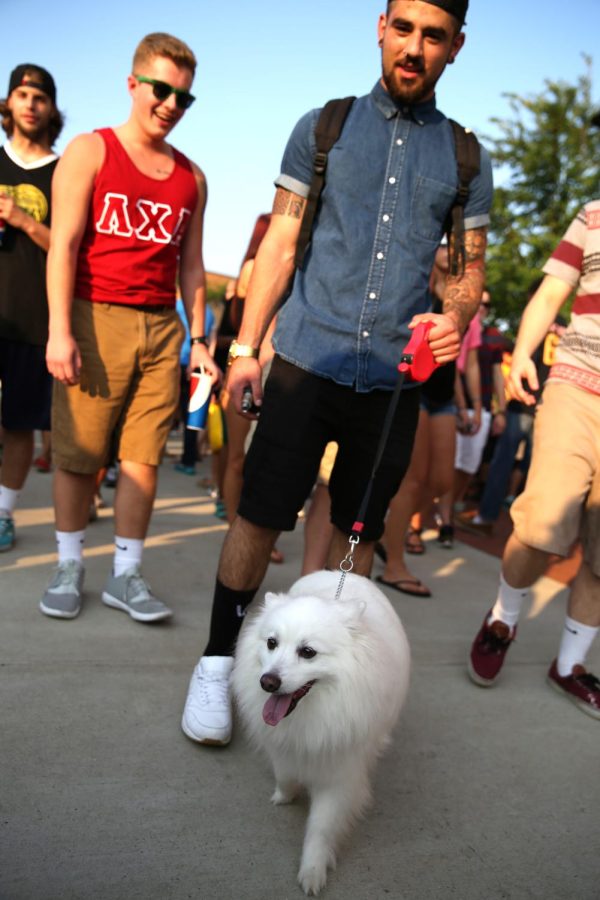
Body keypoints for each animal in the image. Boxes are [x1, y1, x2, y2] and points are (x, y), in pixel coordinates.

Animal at [232, 568, 410, 892]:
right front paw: (284, 794)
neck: (314, 711)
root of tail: (340, 571)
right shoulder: (284, 746)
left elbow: (321, 828)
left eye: (308, 652)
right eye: (271, 643)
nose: (267, 682)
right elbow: (284, 773)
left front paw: (312, 871)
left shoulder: (340, 774)